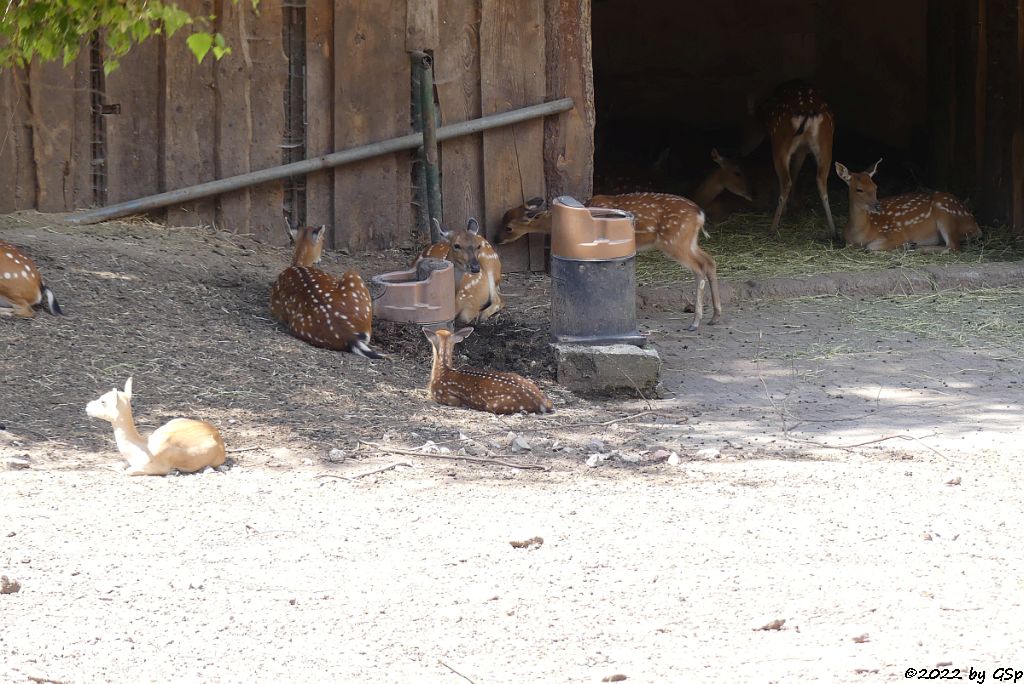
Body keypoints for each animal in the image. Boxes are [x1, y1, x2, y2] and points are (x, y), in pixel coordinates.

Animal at [495, 192, 720, 331]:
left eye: (508, 227)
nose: (496, 239)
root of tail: (700, 215)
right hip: (688, 241)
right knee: (710, 262)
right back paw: (715, 317)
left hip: (674, 241)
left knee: (699, 268)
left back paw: (695, 322)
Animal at [831, 158, 983, 252]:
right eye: (859, 189)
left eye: (875, 187)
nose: (877, 206)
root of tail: (975, 224)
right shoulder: (848, 242)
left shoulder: (897, 232)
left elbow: (871, 247)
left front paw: (904, 245)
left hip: (945, 212)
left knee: (953, 246)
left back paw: (917, 248)